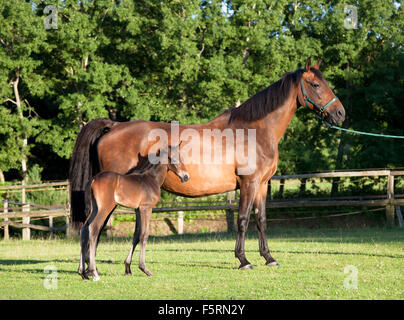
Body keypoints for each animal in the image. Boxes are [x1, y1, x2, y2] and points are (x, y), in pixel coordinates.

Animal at [78, 145, 189, 280]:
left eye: (181, 157)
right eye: (173, 158)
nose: (186, 177)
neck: (151, 179)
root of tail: (94, 179)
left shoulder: (137, 209)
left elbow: (136, 235)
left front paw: (128, 268)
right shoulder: (146, 208)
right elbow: (144, 235)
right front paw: (144, 269)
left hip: (94, 208)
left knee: (84, 229)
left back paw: (82, 273)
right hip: (104, 208)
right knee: (93, 229)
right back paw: (93, 272)